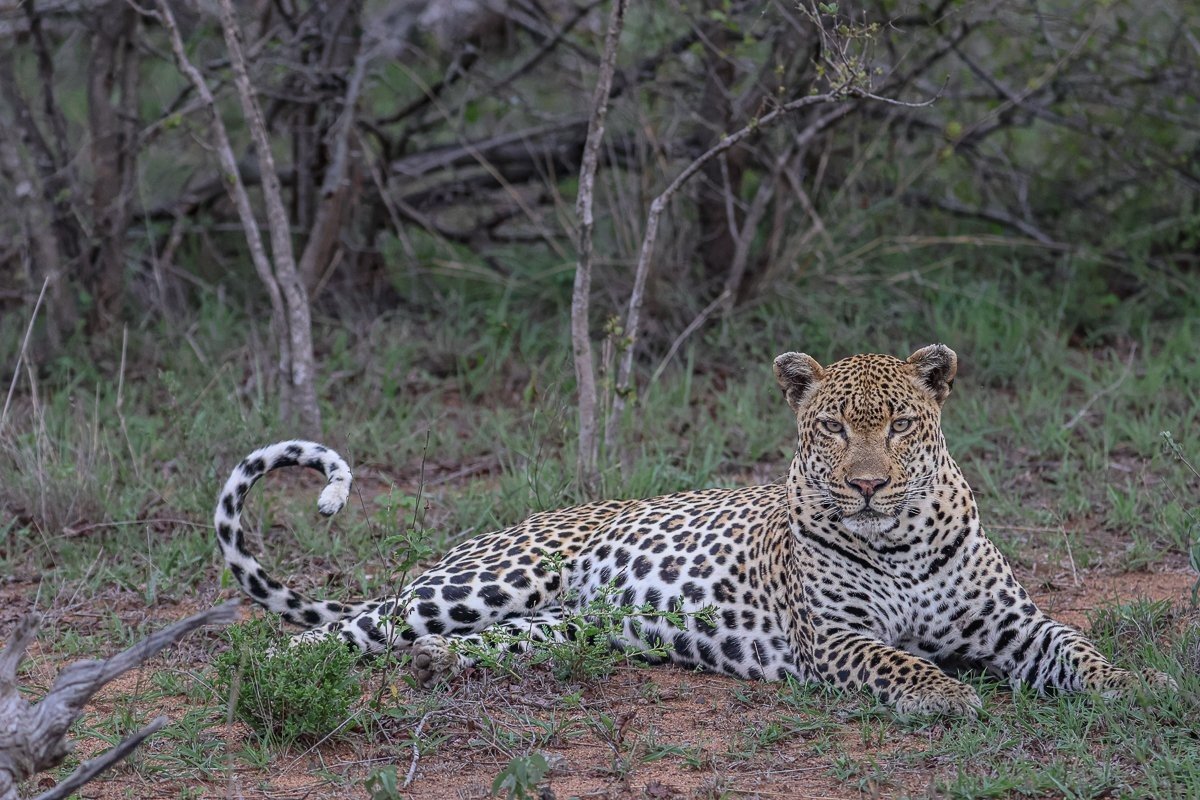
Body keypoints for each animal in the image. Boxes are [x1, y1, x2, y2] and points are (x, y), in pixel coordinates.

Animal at [213, 344, 1175, 716]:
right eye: (833, 428)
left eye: (901, 425)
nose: (867, 485)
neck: (896, 540)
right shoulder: (834, 638)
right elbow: (898, 659)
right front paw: (943, 694)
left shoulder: (1010, 623)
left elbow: (1075, 644)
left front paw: (1138, 685)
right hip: (484, 582)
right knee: (341, 631)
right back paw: (283, 673)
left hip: (554, 627)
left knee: (452, 642)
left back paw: (442, 668)